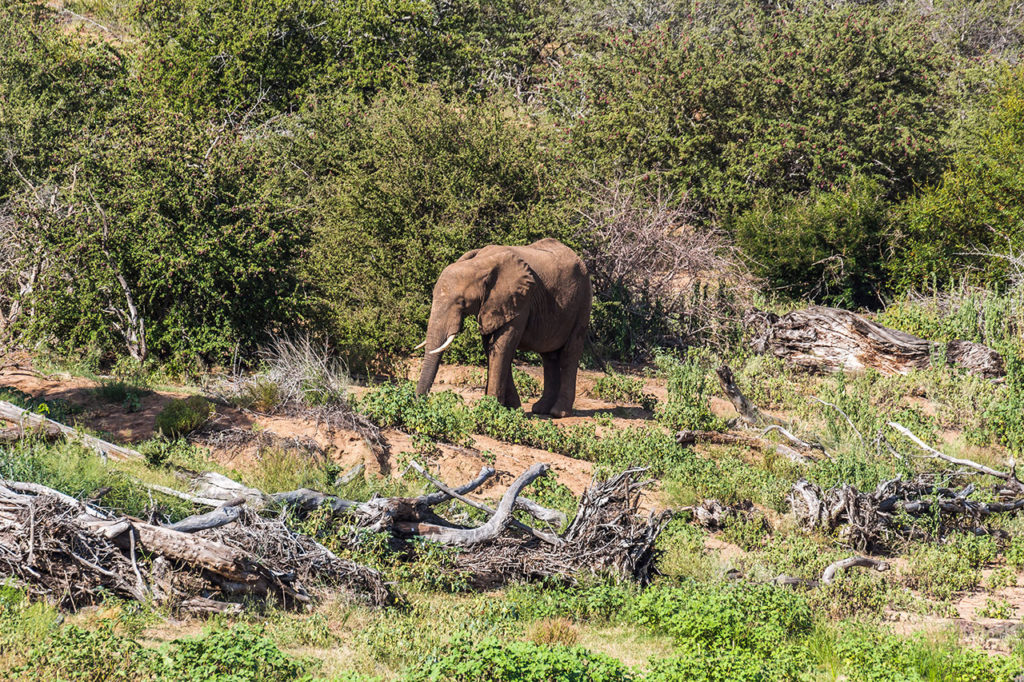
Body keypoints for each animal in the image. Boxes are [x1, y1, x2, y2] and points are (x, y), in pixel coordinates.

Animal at [415, 238, 593, 419]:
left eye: (461, 302)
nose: (419, 403)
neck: (479, 265)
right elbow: (491, 346)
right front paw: (513, 409)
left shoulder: (519, 301)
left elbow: (503, 346)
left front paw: (491, 409)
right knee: (549, 356)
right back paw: (541, 409)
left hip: (583, 301)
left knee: (569, 353)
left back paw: (558, 413)